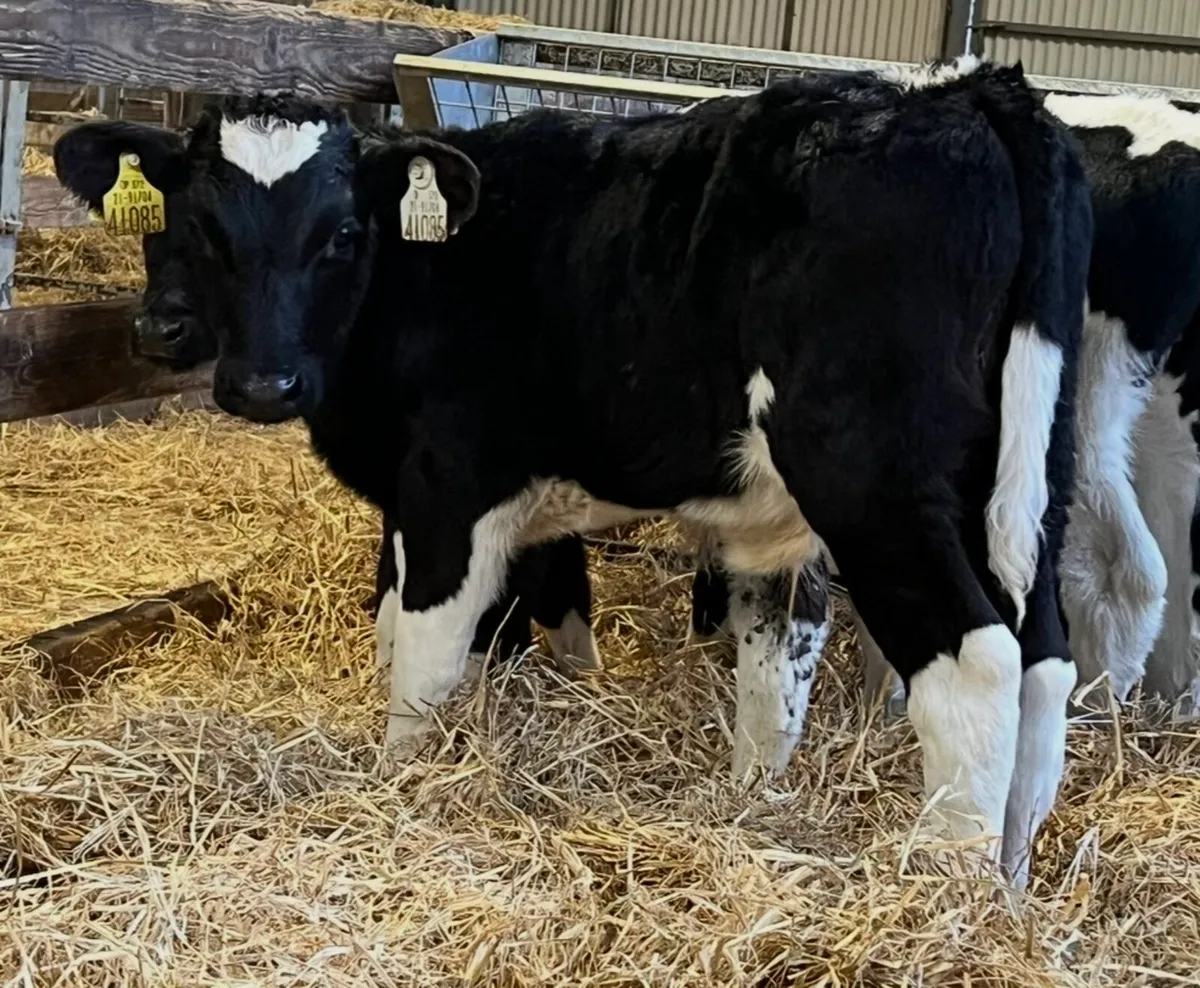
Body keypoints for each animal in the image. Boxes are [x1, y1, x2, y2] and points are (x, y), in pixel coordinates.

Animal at [56, 60, 1092, 885]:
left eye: (344, 232)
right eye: (196, 223)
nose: (261, 382)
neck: (427, 271)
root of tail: (960, 91)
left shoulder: (449, 491)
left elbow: (423, 657)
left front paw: (401, 787)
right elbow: (467, 630)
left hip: (874, 482)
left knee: (977, 662)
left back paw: (947, 886)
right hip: (1024, 484)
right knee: (1043, 657)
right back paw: (1011, 881)